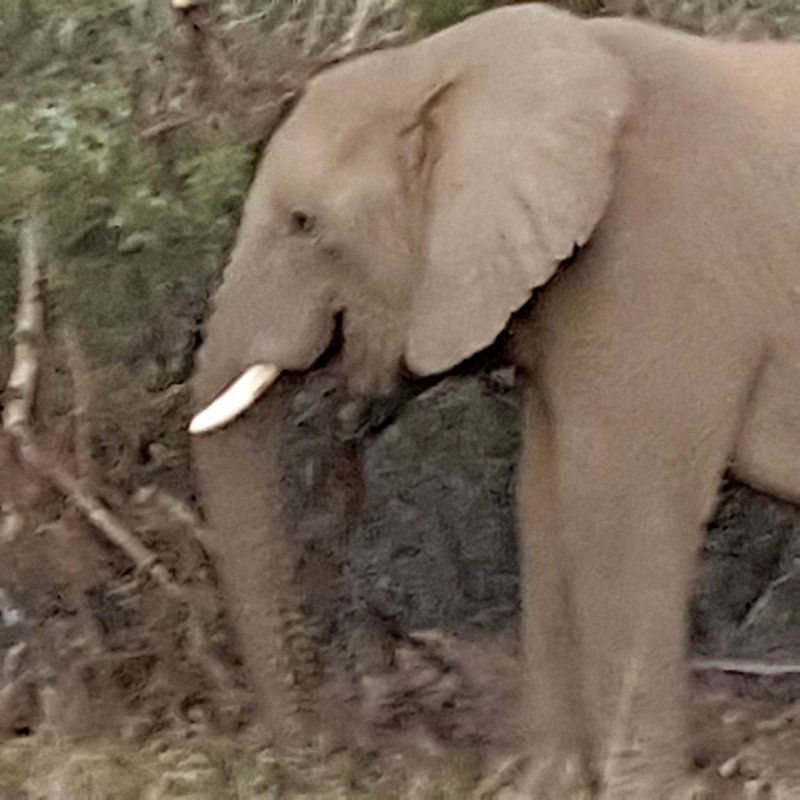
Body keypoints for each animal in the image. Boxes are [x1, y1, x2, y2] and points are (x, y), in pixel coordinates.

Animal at [192, 4, 800, 792]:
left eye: (303, 223)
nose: (314, 760)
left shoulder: (659, 266)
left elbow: (621, 512)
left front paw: (639, 792)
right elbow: (542, 504)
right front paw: (545, 788)